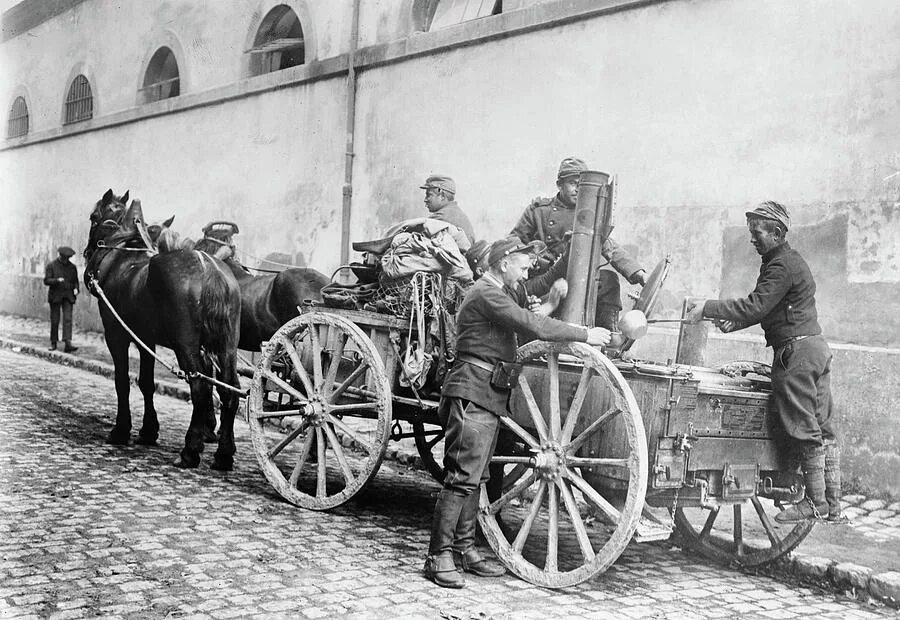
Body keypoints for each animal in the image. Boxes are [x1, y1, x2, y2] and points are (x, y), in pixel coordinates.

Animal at [84, 189, 243, 470]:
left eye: (94, 217)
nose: (87, 253)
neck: (122, 255)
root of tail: (211, 271)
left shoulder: (117, 335)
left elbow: (122, 381)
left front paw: (121, 430)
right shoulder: (145, 338)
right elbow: (146, 382)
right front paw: (148, 430)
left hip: (186, 345)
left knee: (200, 388)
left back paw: (190, 450)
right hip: (227, 346)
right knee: (228, 390)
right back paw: (224, 454)